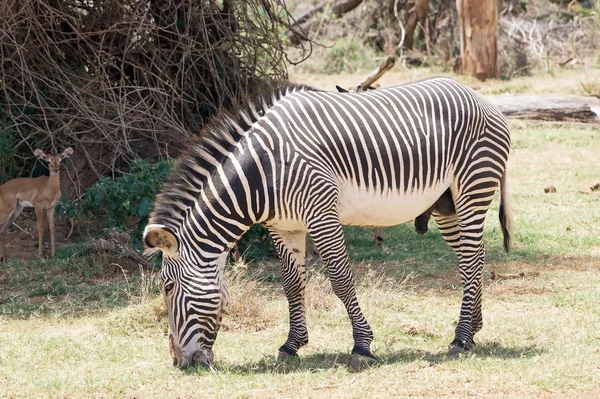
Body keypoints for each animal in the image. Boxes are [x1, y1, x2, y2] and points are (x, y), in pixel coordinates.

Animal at [143, 77, 512, 372]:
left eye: (167, 287)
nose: (179, 362)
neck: (264, 172)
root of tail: (480, 97)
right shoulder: (285, 226)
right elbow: (292, 285)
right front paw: (291, 345)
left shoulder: (322, 215)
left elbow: (342, 281)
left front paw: (362, 346)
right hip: (447, 205)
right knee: (472, 258)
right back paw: (472, 329)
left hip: (473, 187)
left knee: (472, 259)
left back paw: (461, 339)